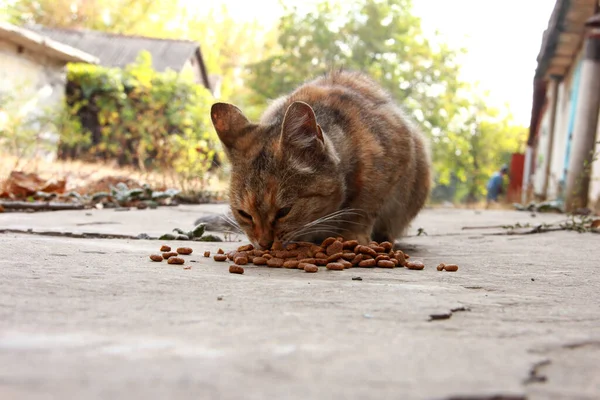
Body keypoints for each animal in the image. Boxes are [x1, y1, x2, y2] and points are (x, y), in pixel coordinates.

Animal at [207, 70, 432, 248]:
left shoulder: (390, 164)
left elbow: (364, 207)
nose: (264, 244)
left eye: (284, 211)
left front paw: (352, 235)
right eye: (244, 213)